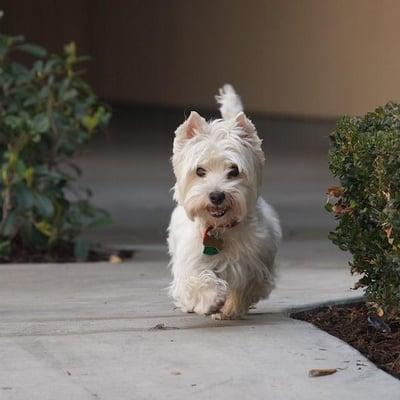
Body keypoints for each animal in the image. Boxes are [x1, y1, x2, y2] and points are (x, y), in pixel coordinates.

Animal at [167, 86, 280, 320]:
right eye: (200, 171)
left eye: (234, 170)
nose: (217, 196)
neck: (220, 230)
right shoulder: (190, 264)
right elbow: (196, 282)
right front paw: (212, 298)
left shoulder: (256, 264)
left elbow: (245, 285)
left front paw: (229, 308)